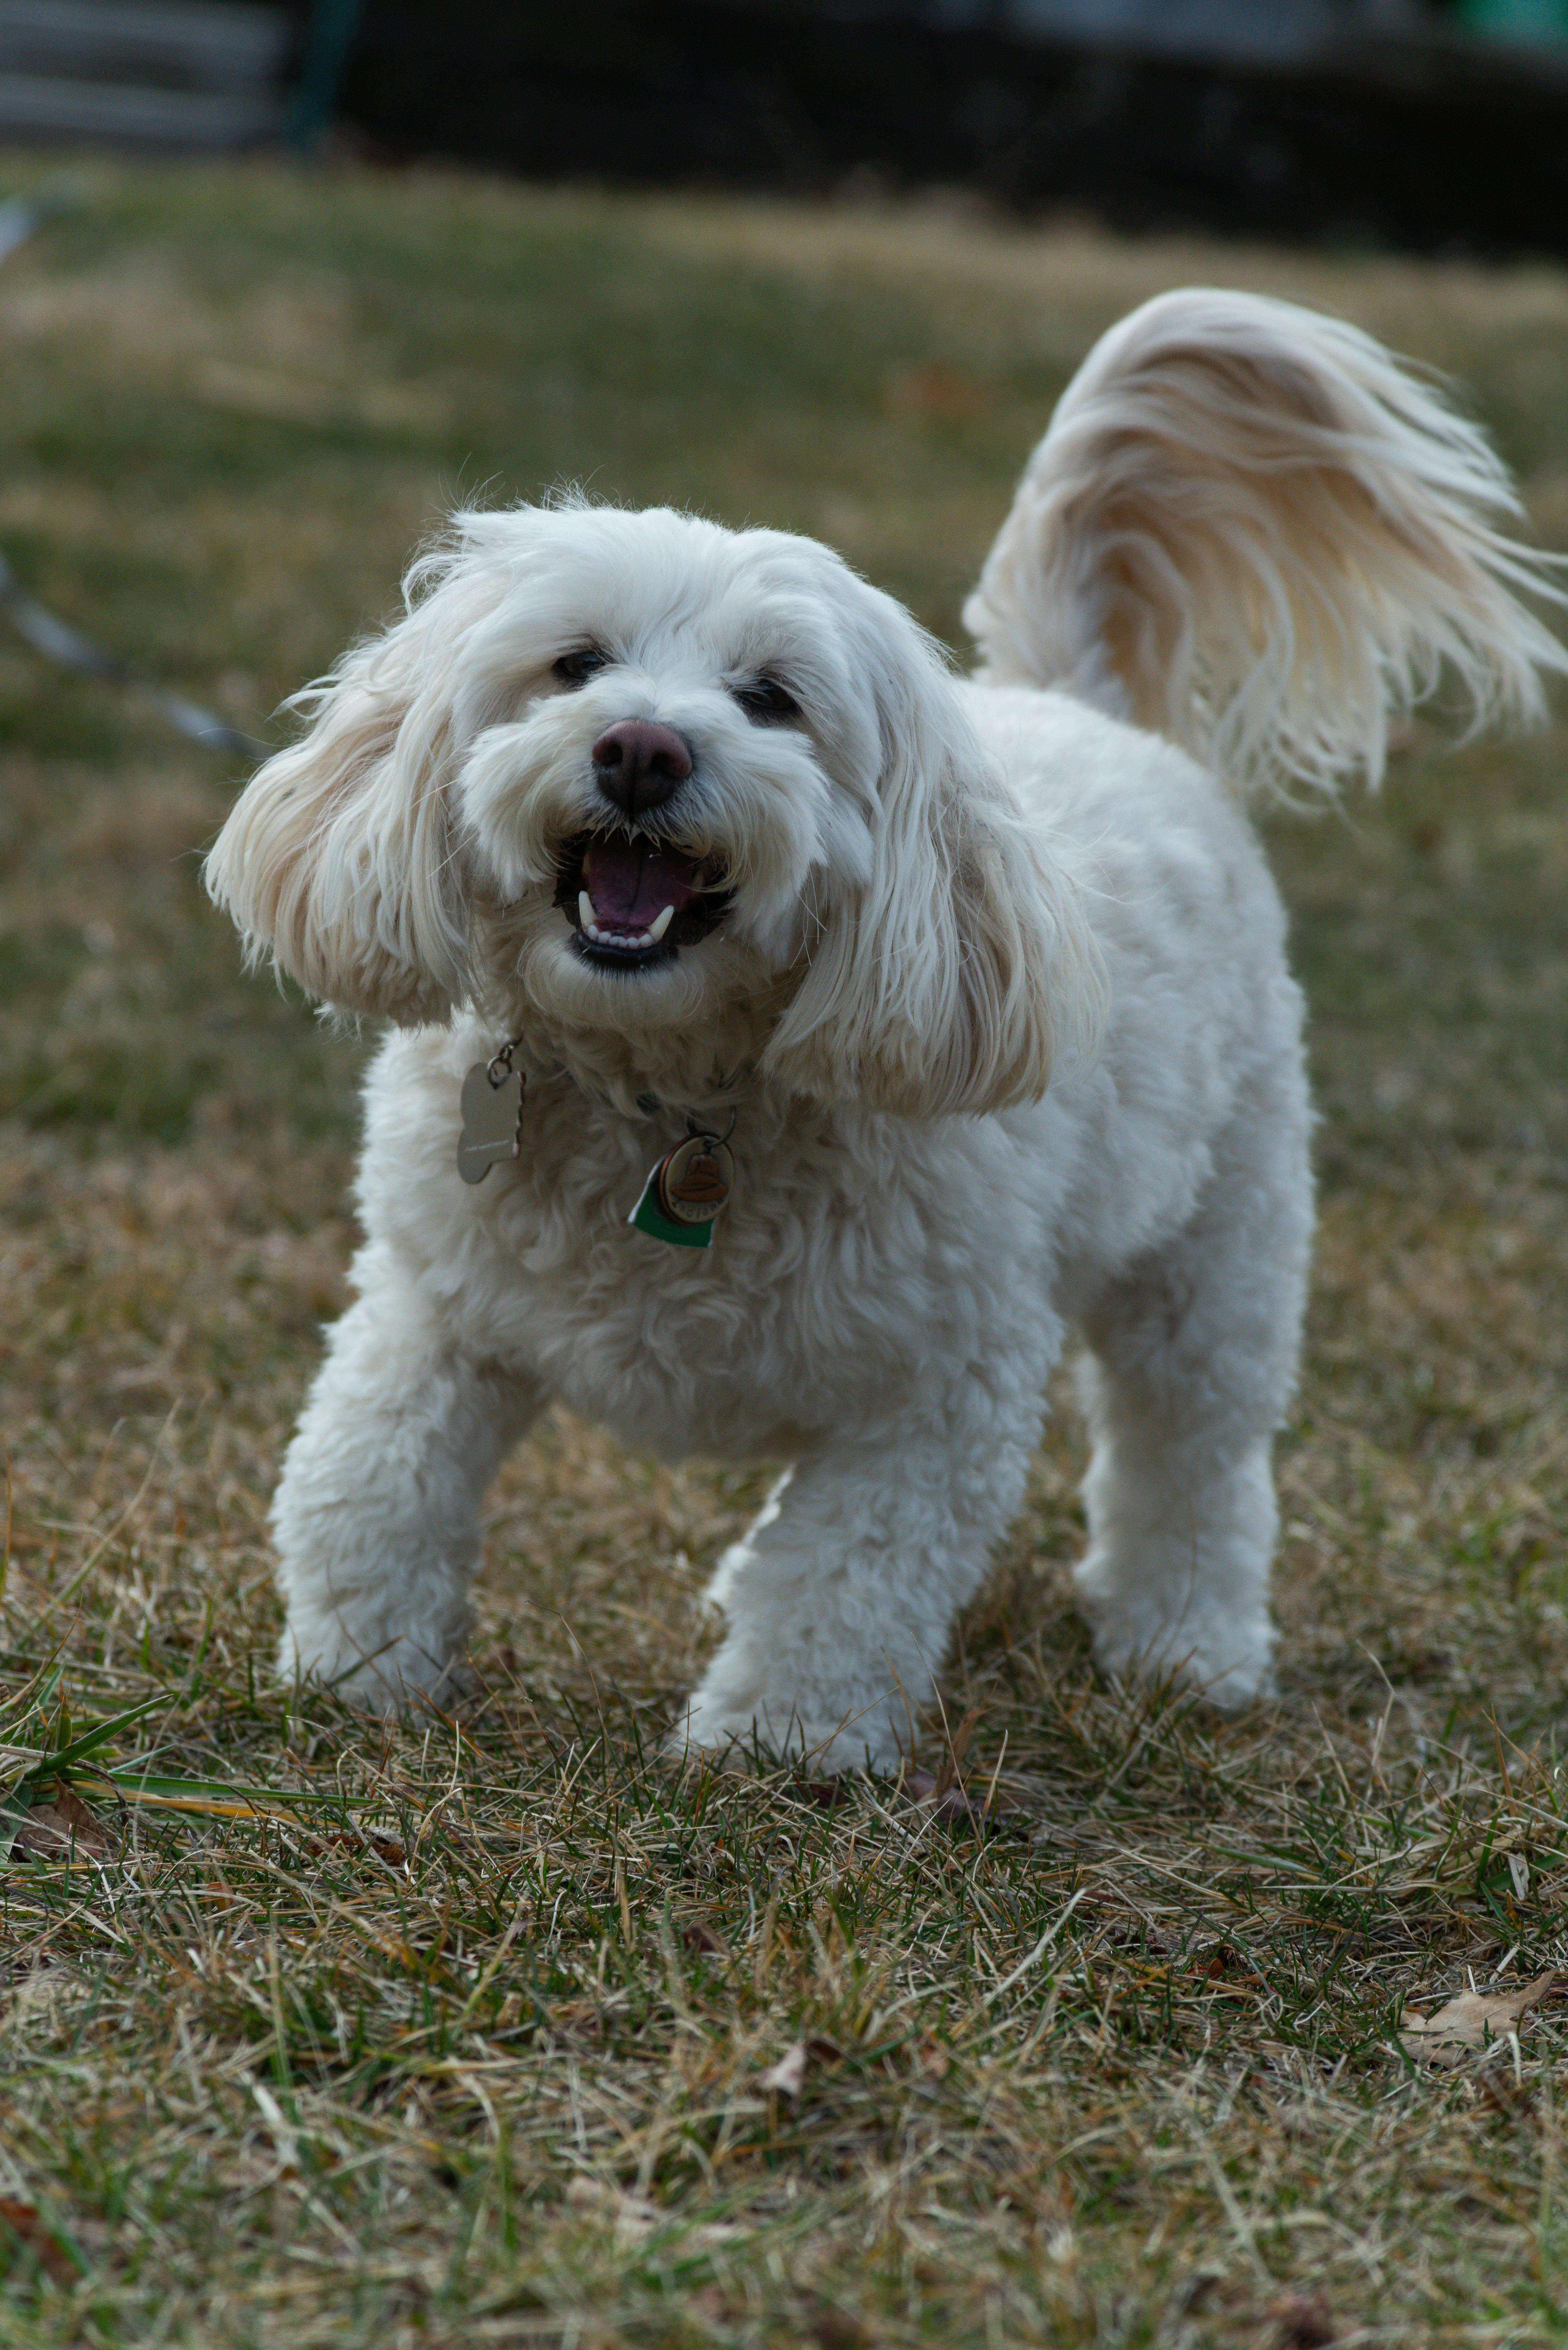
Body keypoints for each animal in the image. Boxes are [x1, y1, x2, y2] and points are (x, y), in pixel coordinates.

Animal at [208, 284, 1568, 1767]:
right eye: (574, 664)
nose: (641, 748)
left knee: (1192, 1454)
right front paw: (358, 1673)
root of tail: (1070, 703)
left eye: (770, 698)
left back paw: (1188, 1645)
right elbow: (366, 1477)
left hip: (1221, 1243)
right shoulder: (431, 1307)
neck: (670, 1094)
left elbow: (845, 1573)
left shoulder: (942, 1387)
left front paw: (775, 1748)